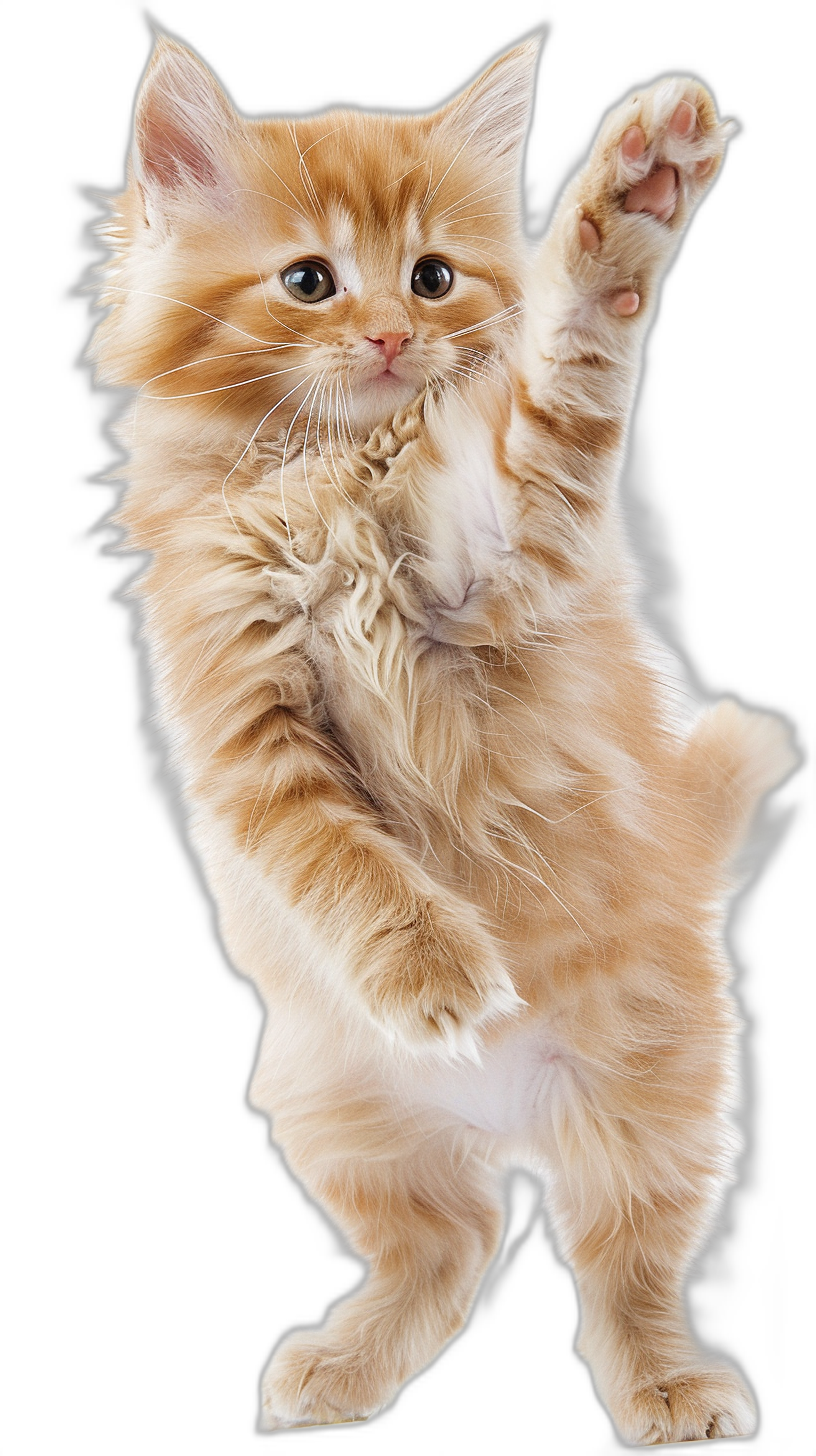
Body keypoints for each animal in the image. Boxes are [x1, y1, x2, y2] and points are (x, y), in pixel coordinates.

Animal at [84, 25, 804, 1444]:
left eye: (433, 276)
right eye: (310, 280)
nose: (389, 333)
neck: (330, 483)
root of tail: (504, 1107)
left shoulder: (503, 555)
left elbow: (569, 377)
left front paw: (634, 202)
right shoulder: (243, 723)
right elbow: (342, 857)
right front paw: (437, 974)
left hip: (650, 1095)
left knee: (622, 1258)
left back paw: (669, 1387)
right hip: (338, 1110)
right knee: (451, 1244)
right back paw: (340, 1367)